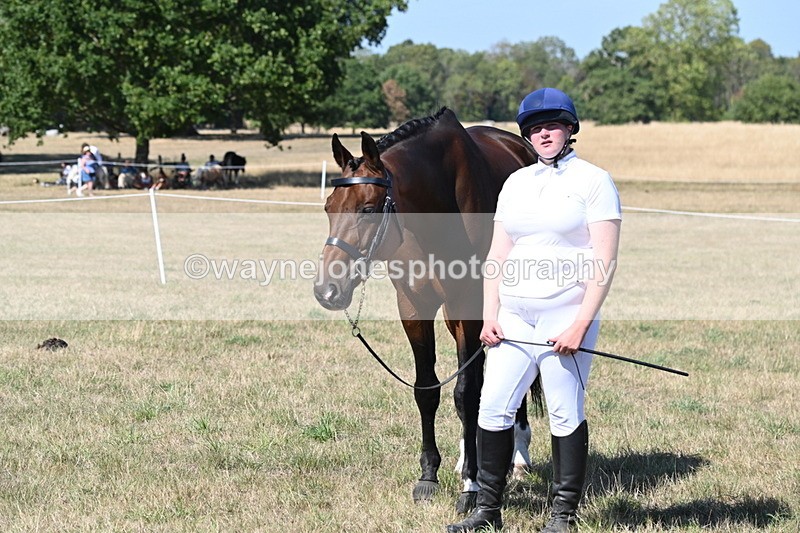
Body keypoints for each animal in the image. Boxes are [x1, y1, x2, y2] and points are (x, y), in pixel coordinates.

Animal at [314, 107, 539, 512]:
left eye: (368, 210)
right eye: (328, 208)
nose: (327, 290)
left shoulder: (469, 303)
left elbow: (466, 392)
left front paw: (471, 486)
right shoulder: (414, 306)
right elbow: (427, 390)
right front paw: (429, 476)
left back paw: (518, 456)